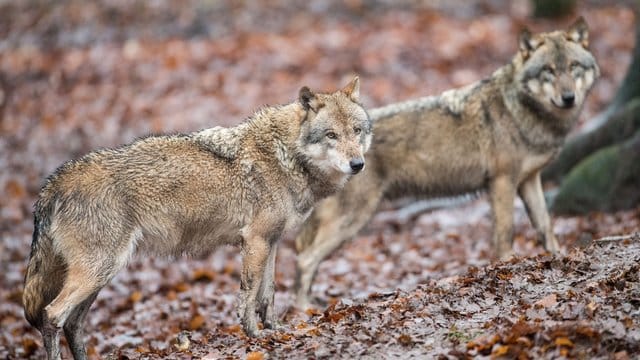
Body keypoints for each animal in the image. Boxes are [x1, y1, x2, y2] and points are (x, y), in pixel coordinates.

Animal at [25, 76, 372, 360]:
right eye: (331, 135)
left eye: (357, 131)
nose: (358, 164)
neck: (285, 155)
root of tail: (55, 181)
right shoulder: (255, 241)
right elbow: (248, 296)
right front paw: (254, 337)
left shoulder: (271, 242)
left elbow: (268, 294)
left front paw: (277, 330)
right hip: (101, 269)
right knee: (52, 315)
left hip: (102, 274)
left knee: (73, 322)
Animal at [296, 17, 600, 310]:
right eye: (548, 70)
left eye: (573, 67)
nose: (568, 98)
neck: (521, 112)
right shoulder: (502, 181)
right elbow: (505, 232)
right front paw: (508, 265)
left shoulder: (529, 180)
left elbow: (546, 225)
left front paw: (557, 257)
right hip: (354, 218)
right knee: (305, 259)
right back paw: (303, 310)